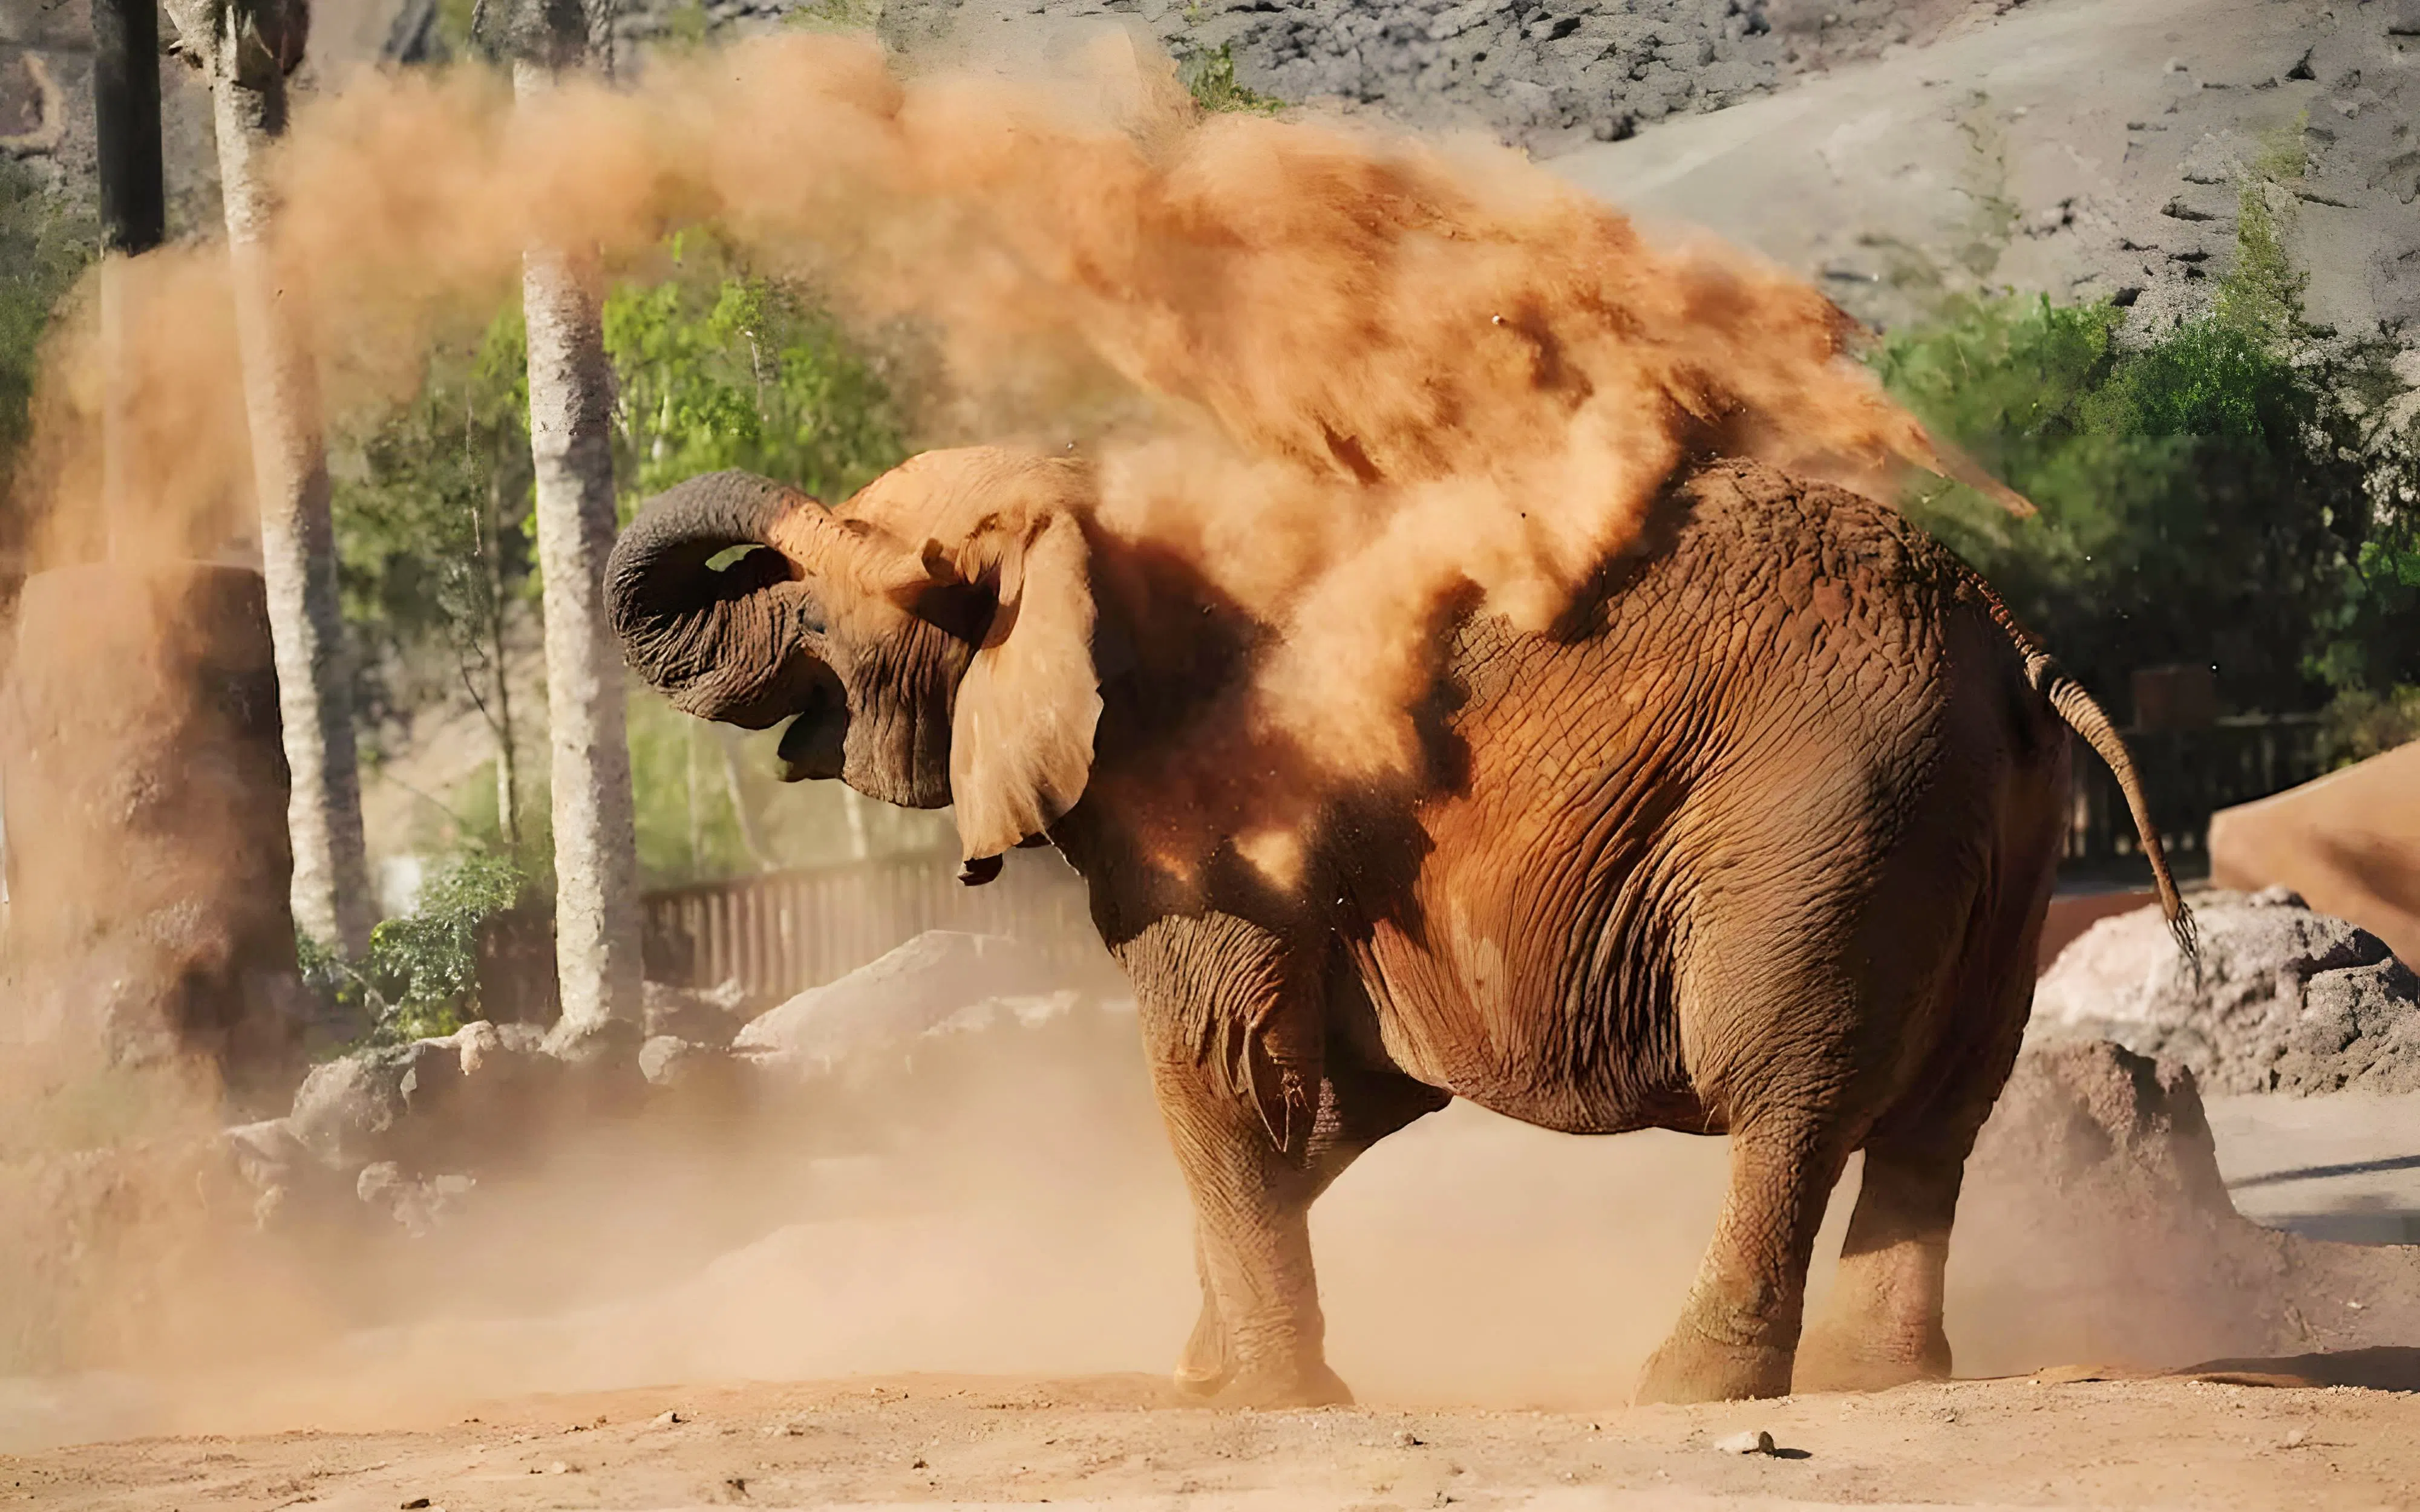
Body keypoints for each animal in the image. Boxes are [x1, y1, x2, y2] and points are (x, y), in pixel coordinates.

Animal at [606, 445, 2191, 1407]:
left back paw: (1683, 1390)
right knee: (1941, 1112)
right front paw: (1211, 1374)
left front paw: (1265, 1402)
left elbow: (1221, 1066)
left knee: (1787, 1093)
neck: (1091, 496)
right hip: (1988, 833)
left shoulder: (1198, 802)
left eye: (846, 600)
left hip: (1822, 819)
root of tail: (2009, 639)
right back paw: (1884, 1384)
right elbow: (1328, 1097)